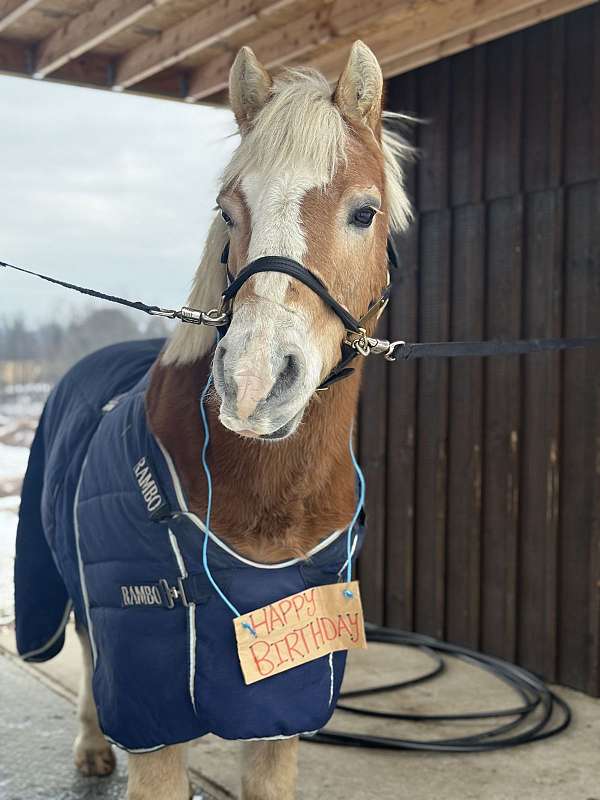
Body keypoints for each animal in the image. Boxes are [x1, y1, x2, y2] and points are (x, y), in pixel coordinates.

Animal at [13, 40, 411, 800]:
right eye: (229, 210)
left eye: (364, 212)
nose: (253, 383)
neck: (266, 511)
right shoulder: (153, 713)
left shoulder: (282, 712)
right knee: (87, 647)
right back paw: (91, 745)